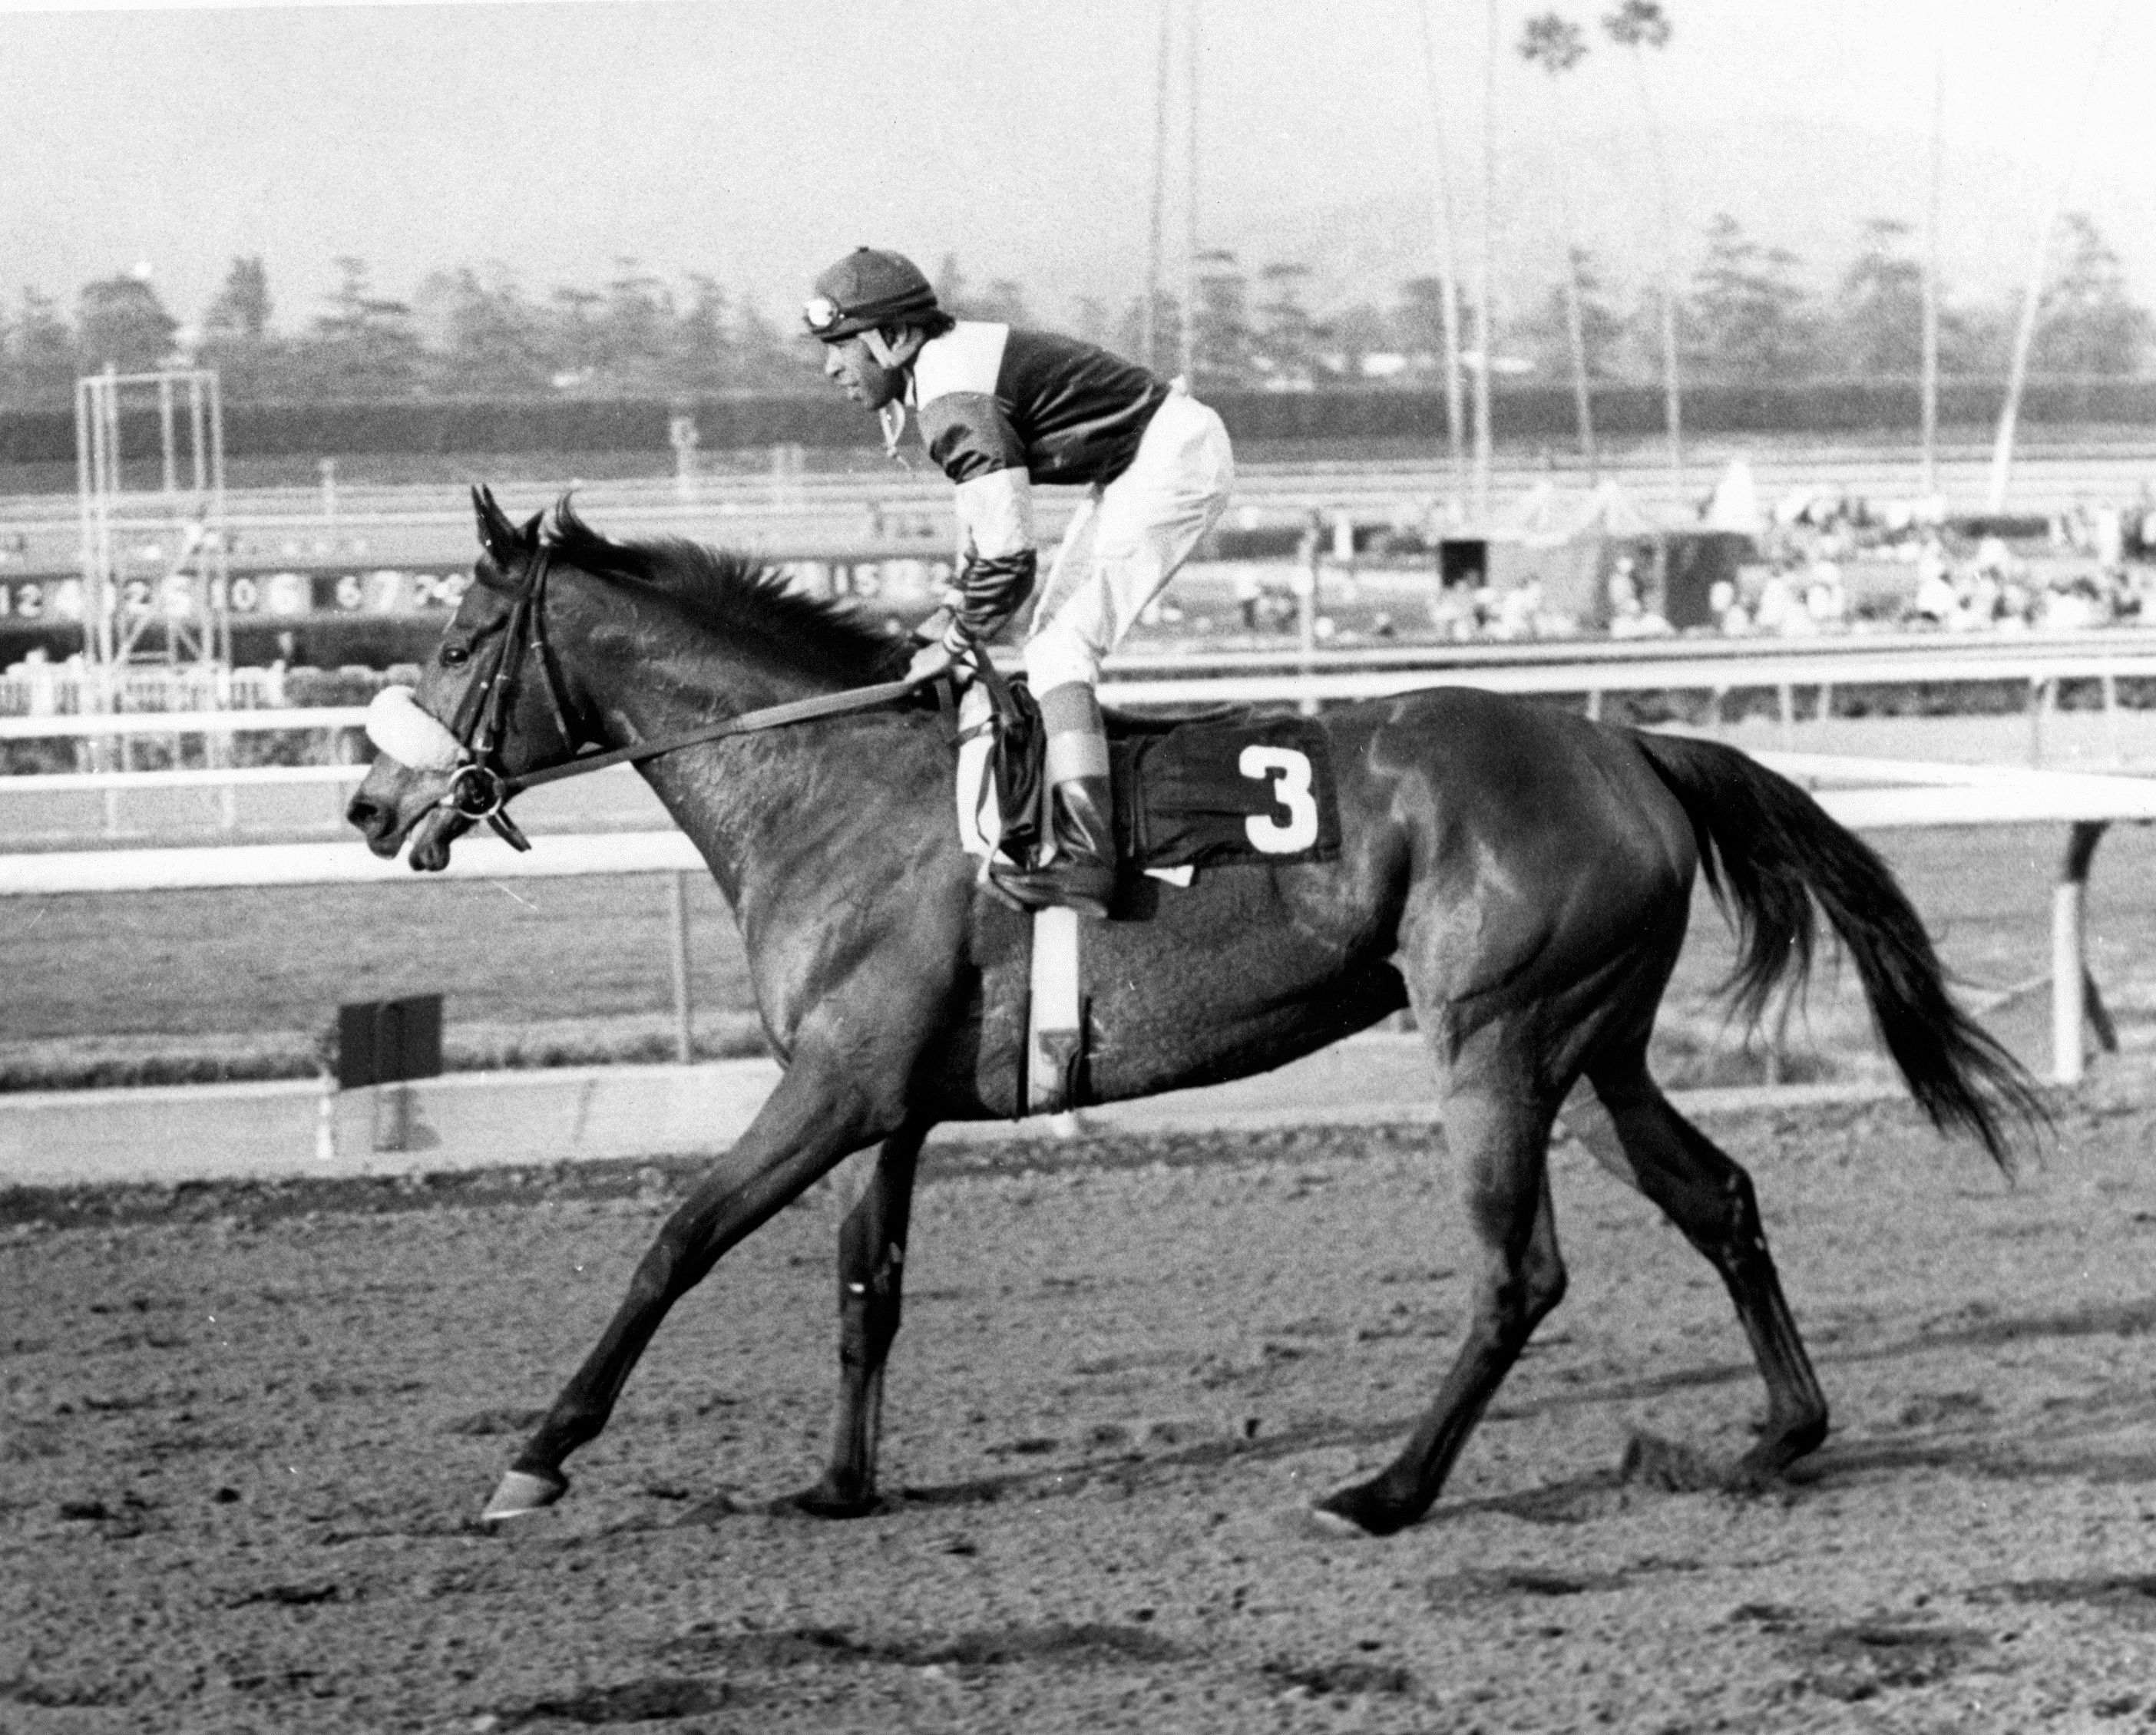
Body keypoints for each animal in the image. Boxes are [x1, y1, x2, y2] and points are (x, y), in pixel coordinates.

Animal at [340, 487, 2035, 1525]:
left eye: (461, 636)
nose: (368, 800)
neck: (832, 783)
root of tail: (1627, 744)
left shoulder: (831, 1086)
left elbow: (676, 1240)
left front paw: (536, 1458)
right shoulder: (891, 1103)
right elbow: (865, 1286)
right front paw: (839, 1483)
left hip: (1494, 1038)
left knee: (1519, 1272)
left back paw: (1384, 1491)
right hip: (1593, 1047)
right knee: (1715, 1194)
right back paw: (1776, 1433)